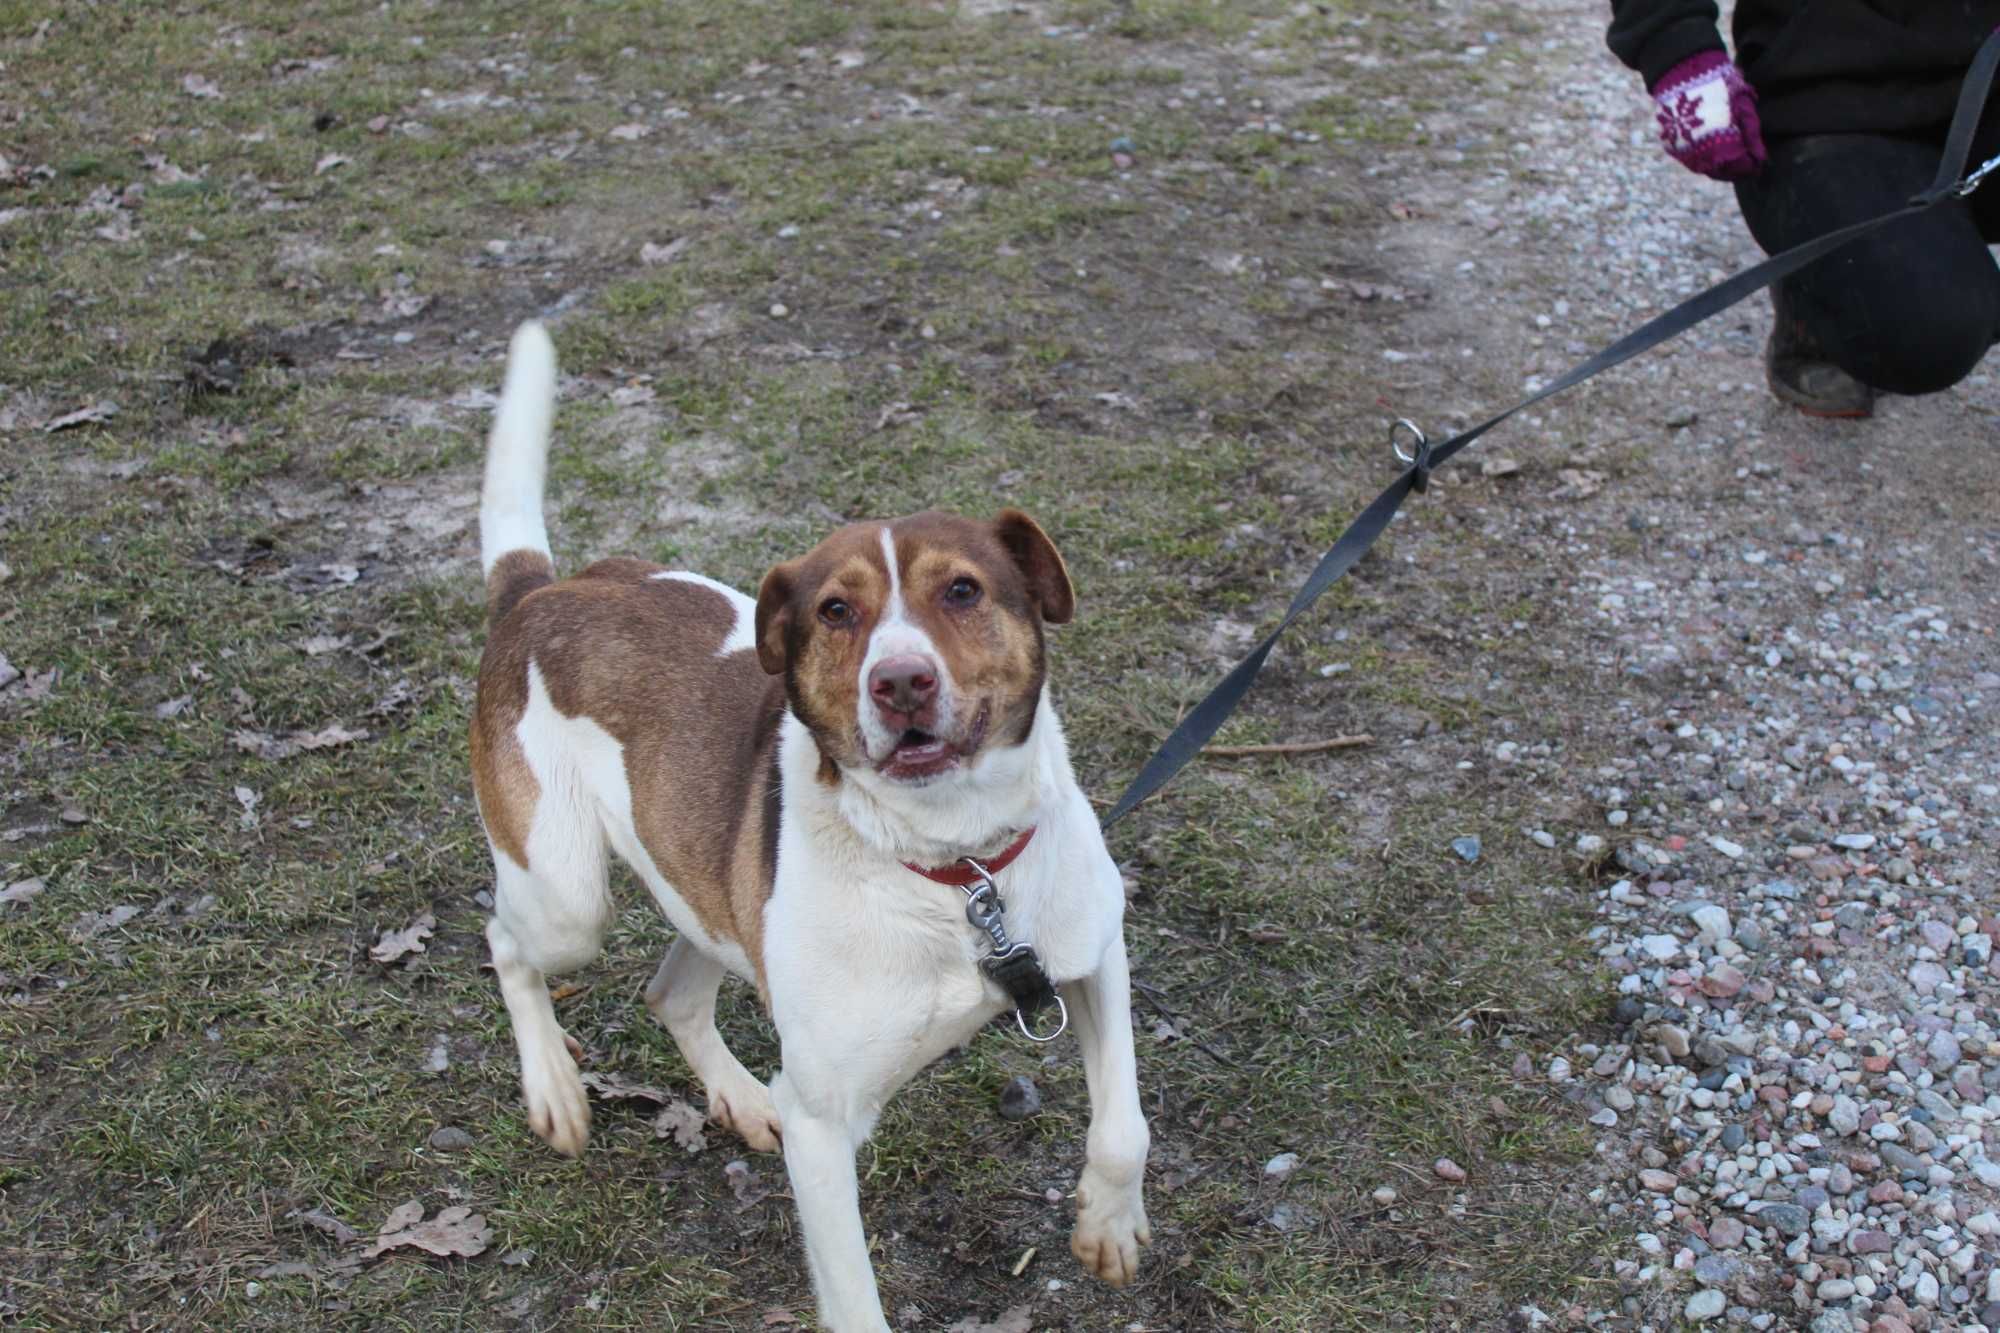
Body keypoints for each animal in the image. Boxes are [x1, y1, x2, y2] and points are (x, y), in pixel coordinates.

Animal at [468, 320, 1152, 1320]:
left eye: (963, 590)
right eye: (836, 610)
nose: (900, 681)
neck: (955, 865)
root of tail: (538, 593)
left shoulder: (1094, 950)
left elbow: (1124, 1125)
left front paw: (1109, 1225)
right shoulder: (824, 1125)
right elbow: (856, 1300)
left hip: (708, 890)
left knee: (671, 990)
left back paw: (740, 1095)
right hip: (566, 900)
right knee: (508, 944)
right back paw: (555, 1086)